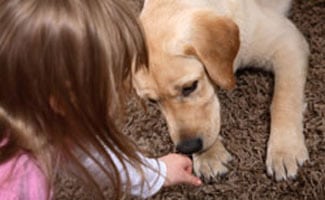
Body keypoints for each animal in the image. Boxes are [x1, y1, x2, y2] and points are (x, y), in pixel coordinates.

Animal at [132, 0, 308, 181]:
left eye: (190, 87)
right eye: (152, 101)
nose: (188, 147)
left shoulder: (287, 41)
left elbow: (284, 100)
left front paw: (284, 150)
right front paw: (208, 155)